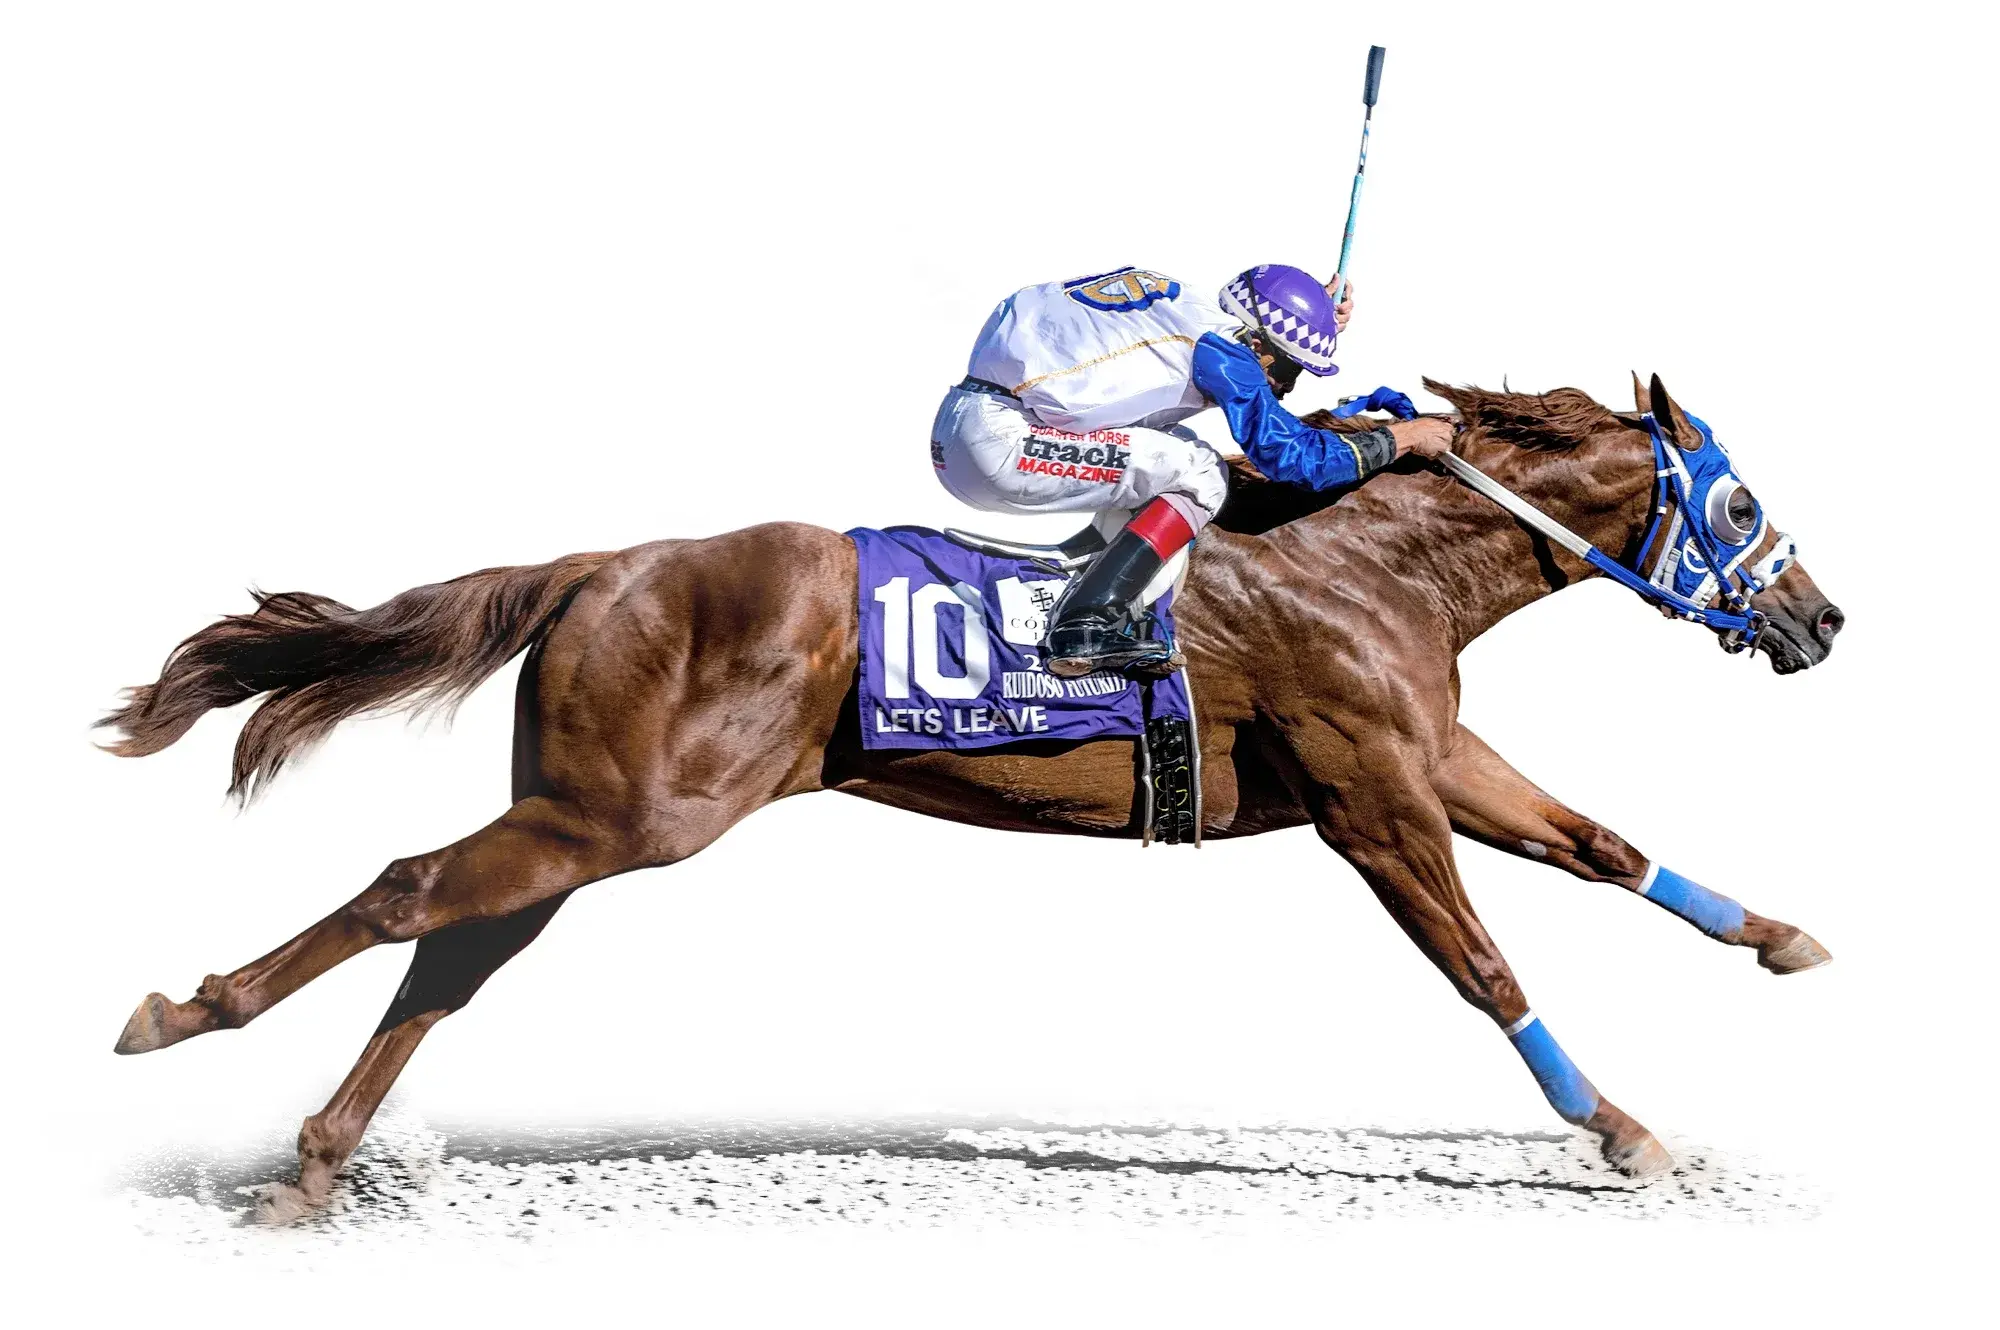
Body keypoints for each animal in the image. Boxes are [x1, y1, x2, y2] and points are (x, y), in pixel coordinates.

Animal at [100, 374, 1844, 1222]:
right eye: (1742, 499)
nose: (1822, 618)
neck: (1364, 556)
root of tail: (603, 565)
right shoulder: (1372, 792)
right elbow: (1487, 962)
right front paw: (1622, 1131)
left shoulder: (1427, 753)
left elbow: (1603, 845)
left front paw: (1782, 937)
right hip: (629, 817)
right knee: (409, 893)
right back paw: (185, 1014)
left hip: (589, 821)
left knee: (450, 954)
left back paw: (316, 1168)